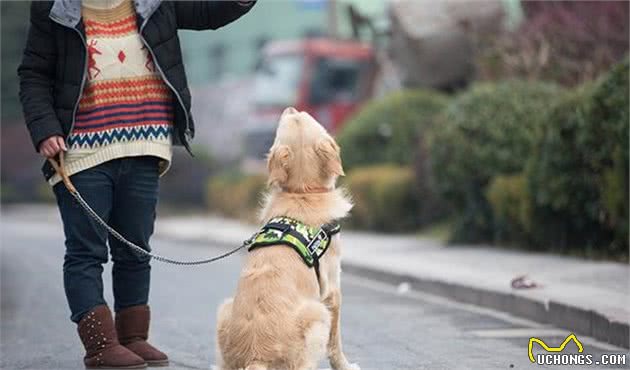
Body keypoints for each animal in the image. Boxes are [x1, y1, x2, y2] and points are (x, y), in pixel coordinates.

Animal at [216, 107, 360, 370]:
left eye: (300, 116)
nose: (291, 108)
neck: (302, 192)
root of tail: (256, 356)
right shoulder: (333, 290)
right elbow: (336, 342)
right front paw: (345, 365)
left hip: (224, 309)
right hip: (317, 314)